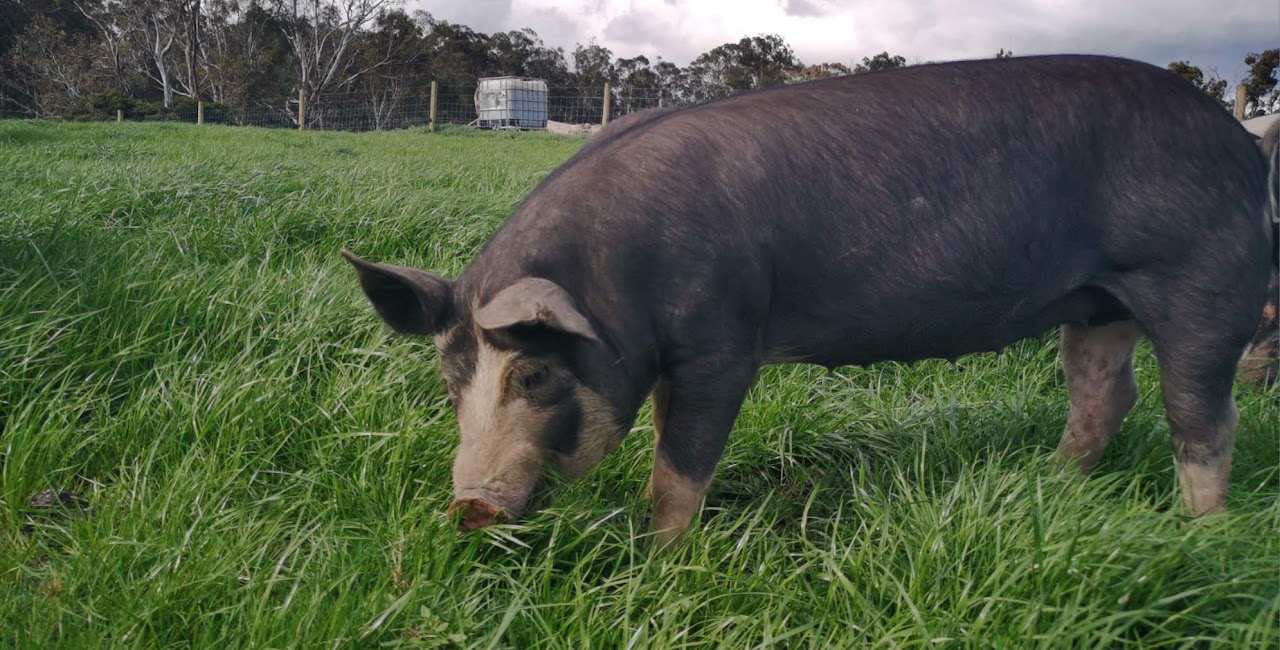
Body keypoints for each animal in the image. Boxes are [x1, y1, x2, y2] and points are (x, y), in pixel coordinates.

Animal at [343, 54, 1277, 548]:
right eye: (449, 382)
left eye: (534, 375)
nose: (468, 504)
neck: (617, 284)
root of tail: (1243, 145)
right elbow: (665, 436)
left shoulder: (724, 339)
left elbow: (681, 461)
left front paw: (662, 552)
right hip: (1096, 304)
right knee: (1105, 394)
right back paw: (1053, 486)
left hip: (1199, 280)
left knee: (1204, 413)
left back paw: (1205, 533)